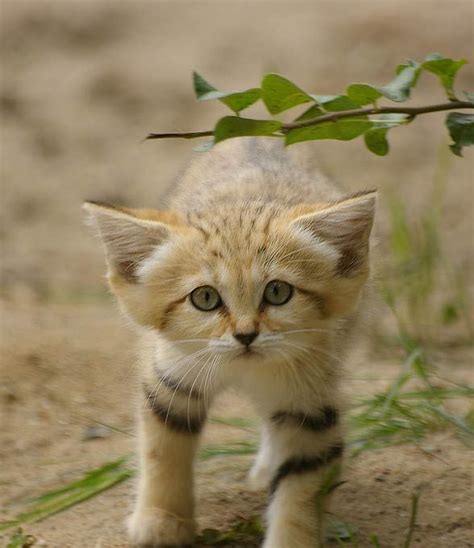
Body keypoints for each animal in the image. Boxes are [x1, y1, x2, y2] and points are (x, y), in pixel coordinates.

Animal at [83, 138, 376, 548]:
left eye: (278, 292)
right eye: (205, 298)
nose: (246, 334)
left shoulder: (311, 406)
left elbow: (301, 486)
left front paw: (291, 538)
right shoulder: (170, 380)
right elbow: (162, 452)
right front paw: (162, 519)